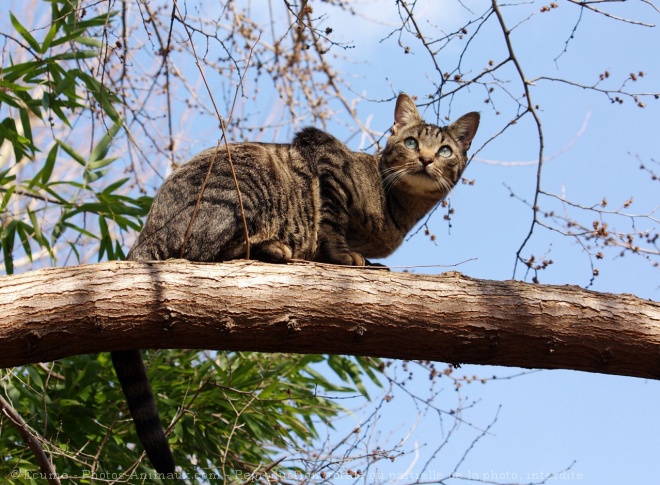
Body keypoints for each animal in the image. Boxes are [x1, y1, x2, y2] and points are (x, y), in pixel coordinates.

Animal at [109, 91, 480, 472]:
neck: (396, 208)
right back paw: (272, 247)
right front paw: (344, 256)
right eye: (410, 143)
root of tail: (147, 230)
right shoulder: (325, 156)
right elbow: (330, 222)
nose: (425, 158)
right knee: (204, 251)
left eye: (445, 151)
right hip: (239, 188)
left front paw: (365, 260)